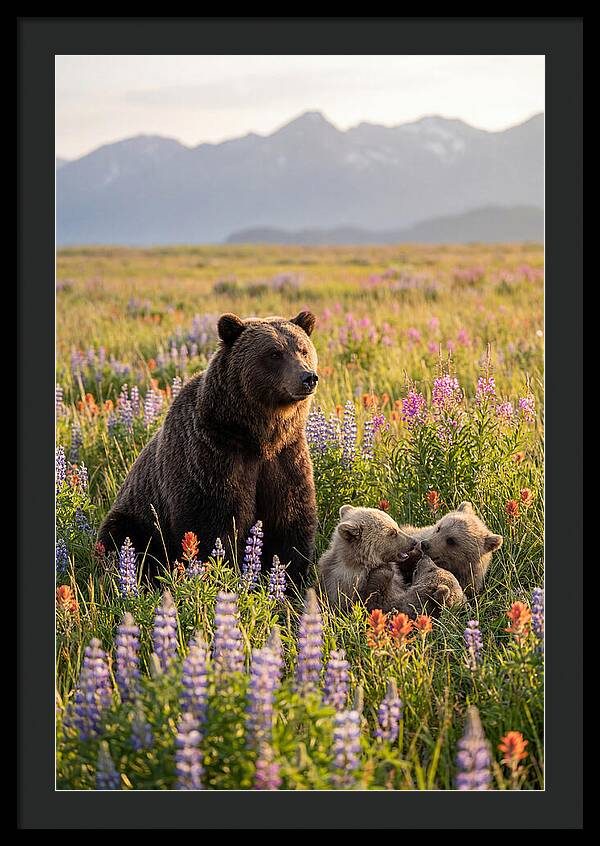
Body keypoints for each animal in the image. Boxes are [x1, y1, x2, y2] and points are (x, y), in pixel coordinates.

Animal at [98, 311, 319, 585]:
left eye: (303, 350)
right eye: (274, 353)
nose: (307, 377)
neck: (257, 436)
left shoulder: (286, 457)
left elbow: (291, 519)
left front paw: (290, 581)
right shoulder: (212, 455)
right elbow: (212, 524)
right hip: (137, 517)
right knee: (121, 538)